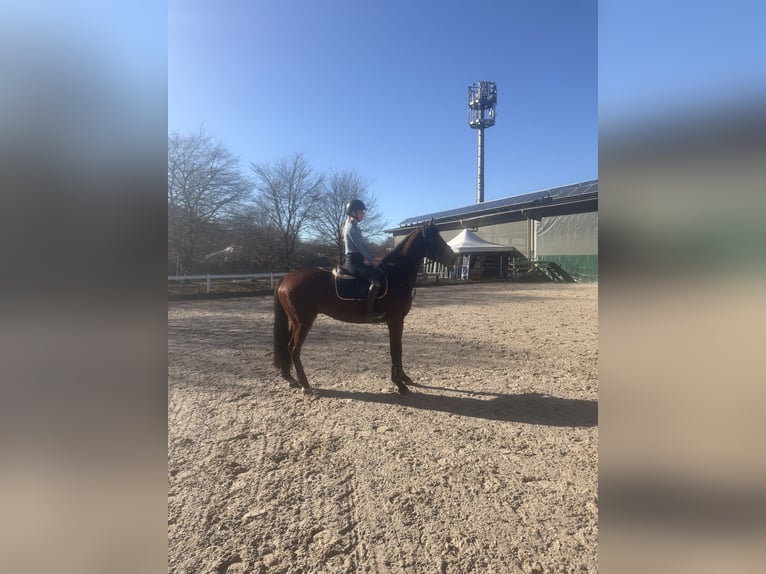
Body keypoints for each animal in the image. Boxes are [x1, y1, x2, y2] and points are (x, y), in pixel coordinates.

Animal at [273, 220, 457, 395]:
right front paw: (399, 384)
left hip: (295, 322)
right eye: (434, 239)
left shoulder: (399, 321)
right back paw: (305, 385)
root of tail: (287, 278)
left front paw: (404, 378)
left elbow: (399, 349)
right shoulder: (394, 320)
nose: (453, 258)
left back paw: (290, 378)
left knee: (286, 346)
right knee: (294, 349)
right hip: (304, 322)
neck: (395, 275)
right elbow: (395, 349)